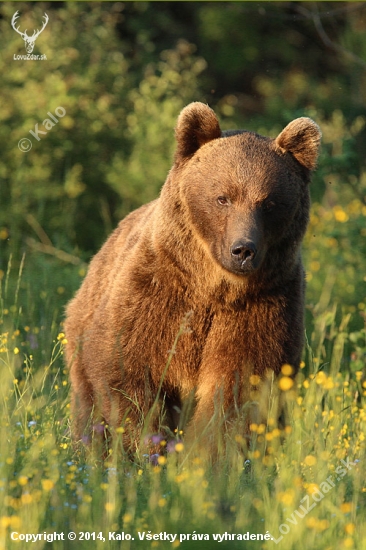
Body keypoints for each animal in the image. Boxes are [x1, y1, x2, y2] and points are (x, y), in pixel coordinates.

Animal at [65, 102, 320, 452]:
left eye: (268, 202)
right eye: (223, 197)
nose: (244, 249)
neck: (215, 286)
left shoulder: (264, 307)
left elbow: (240, 390)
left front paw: (207, 456)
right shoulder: (155, 295)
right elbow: (125, 369)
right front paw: (150, 445)